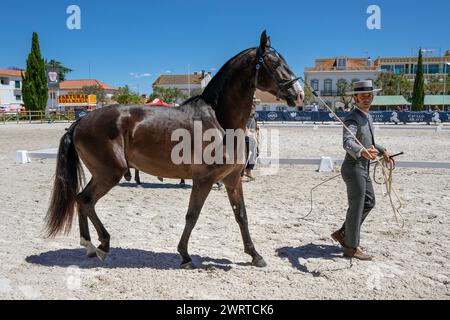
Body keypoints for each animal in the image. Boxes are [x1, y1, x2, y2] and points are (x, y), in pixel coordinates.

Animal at [45, 31, 304, 268]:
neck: (220, 120)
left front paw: (255, 255)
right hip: (109, 173)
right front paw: (185, 255)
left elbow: (241, 215)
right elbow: (192, 215)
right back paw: (100, 244)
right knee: (85, 200)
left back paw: (90, 246)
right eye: (275, 63)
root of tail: (80, 122)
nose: (299, 94)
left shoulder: (232, 179)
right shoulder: (204, 179)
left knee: (81, 200)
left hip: (104, 174)